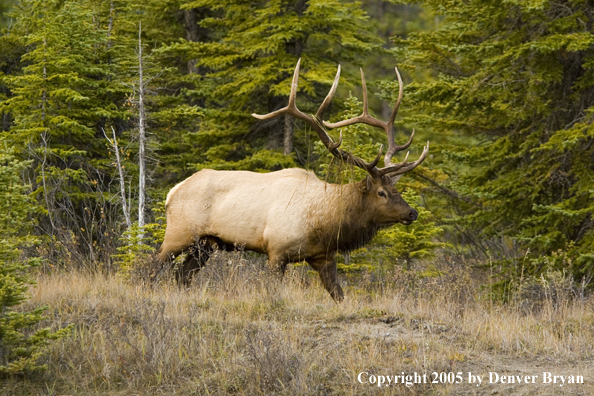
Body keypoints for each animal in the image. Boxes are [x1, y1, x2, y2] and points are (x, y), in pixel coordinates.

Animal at [157, 59, 426, 300]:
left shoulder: (323, 256)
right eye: (381, 192)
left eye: (397, 189)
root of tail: (172, 192)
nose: (412, 212)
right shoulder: (276, 251)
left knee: (182, 275)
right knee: (153, 268)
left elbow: (339, 295)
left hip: (205, 243)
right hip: (178, 233)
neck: (324, 222)